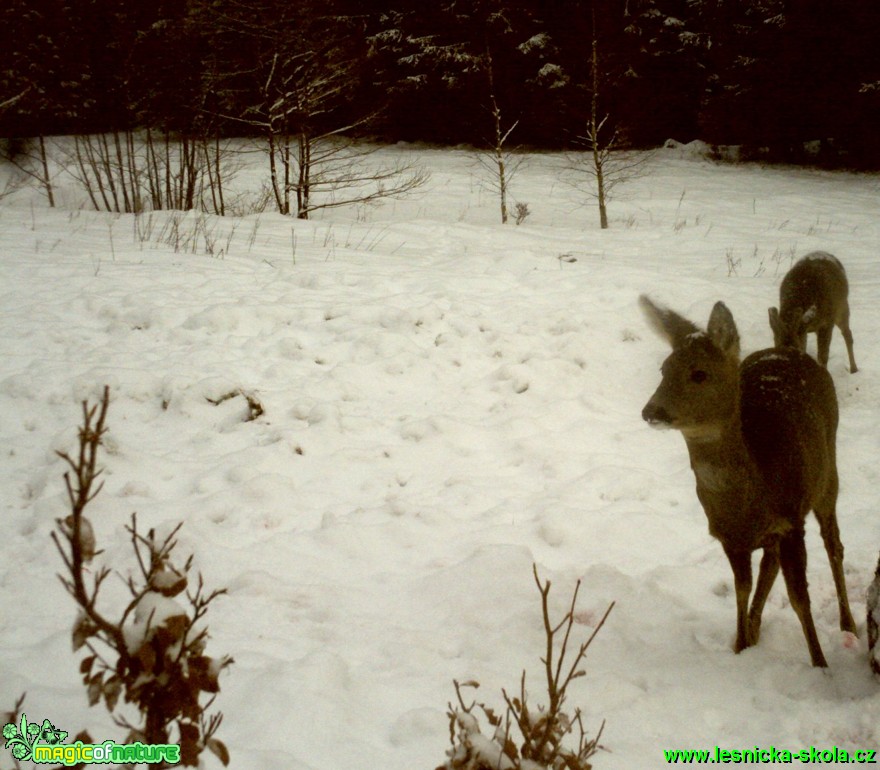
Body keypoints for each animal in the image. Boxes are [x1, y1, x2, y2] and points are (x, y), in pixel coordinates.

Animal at [640, 294, 852, 664]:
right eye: (663, 369)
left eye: (699, 373)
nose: (651, 411)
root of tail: (788, 348)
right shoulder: (730, 538)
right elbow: (743, 589)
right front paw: (740, 645)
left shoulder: (791, 521)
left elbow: (799, 598)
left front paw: (820, 664)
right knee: (771, 564)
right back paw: (755, 630)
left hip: (828, 473)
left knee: (834, 544)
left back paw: (848, 623)